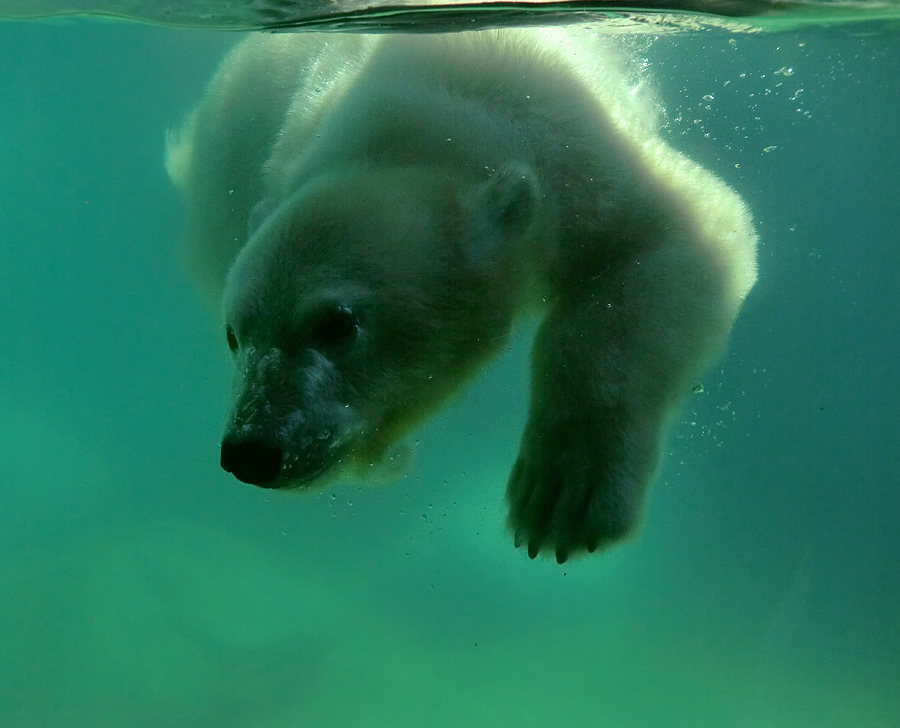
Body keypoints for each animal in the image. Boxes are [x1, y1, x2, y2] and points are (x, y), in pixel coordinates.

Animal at [165, 29, 756, 564]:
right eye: (234, 334)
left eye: (337, 323)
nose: (251, 451)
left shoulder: (577, 155)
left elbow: (688, 230)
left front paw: (561, 492)